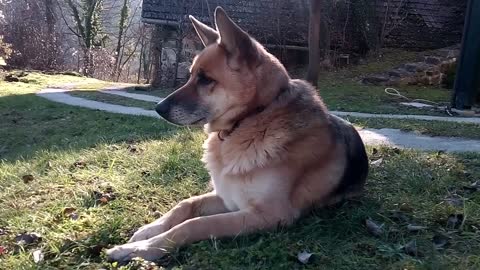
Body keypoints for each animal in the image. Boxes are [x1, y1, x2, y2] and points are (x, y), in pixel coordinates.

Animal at [106, 6, 368, 264]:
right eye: (190, 75)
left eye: (205, 79)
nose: (158, 108)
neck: (253, 118)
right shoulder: (226, 197)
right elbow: (186, 204)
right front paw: (149, 230)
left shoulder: (269, 214)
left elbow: (195, 225)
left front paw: (142, 249)